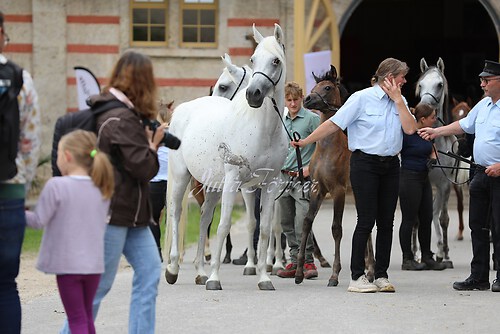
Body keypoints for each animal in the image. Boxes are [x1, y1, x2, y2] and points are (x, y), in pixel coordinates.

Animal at [166, 23, 288, 290]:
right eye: (253, 59)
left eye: (276, 60)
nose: (253, 94)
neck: (262, 128)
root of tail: (180, 110)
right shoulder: (235, 182)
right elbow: (223, 226)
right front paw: (215, 279)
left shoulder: (271, 184)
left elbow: (265, 228)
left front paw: (264, 278)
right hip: (181, 177)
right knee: (176, 213)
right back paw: (172, 269)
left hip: (212, 186)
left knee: (204, 219)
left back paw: (200, 272)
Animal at [294, 66, 374, 288]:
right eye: (315, 86)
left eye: (327, 87)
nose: (307, 99)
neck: (327, 149)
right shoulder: (317, 189)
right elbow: (307, 222)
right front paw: (299, 273)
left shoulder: (338, 191)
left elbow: (336, 229)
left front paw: (334, 275)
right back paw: (368, 269)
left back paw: (371, 269)